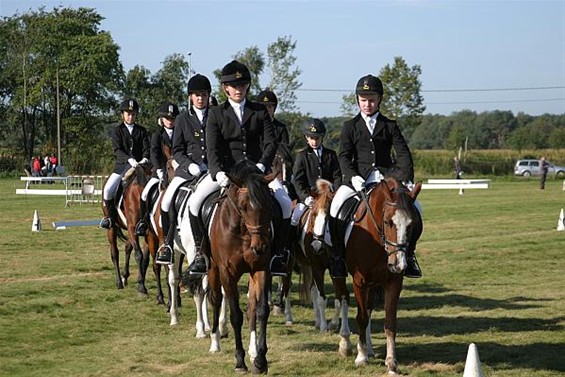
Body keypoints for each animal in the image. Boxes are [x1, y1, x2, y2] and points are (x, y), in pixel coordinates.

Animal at [99, 164, 152, 294]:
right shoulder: (132, 227)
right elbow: (139, 255)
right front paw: (141, 286)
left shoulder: (147, 232)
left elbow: (145, 258)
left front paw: (141, 282)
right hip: (112, 228)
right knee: (115, 253)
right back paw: (119, 282)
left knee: (128, 247)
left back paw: (125, 277)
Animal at [207, 164, 278, 374]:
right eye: (243, 206)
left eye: (269, 204)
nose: (260, 247)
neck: (243, 232)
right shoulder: (227, 273)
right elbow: (236, 315)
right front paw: (239, 361)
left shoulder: (261, 268)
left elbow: (261, 310)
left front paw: (261, 360)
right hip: (213, 269)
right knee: (215, 299)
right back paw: (215, 341)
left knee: (252, 307)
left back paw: (253, 352)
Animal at [338, 176, 420, 374]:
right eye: (389, 221)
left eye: (412, 223)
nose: (399, 264)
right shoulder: (359, 281)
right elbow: (361, 318)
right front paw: (360, 357)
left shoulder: (393, 282)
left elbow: (390, 322)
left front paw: (391, 362)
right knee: (343, 299)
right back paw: (346, 344)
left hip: (374, 283)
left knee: (368, 308)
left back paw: (368, 348)